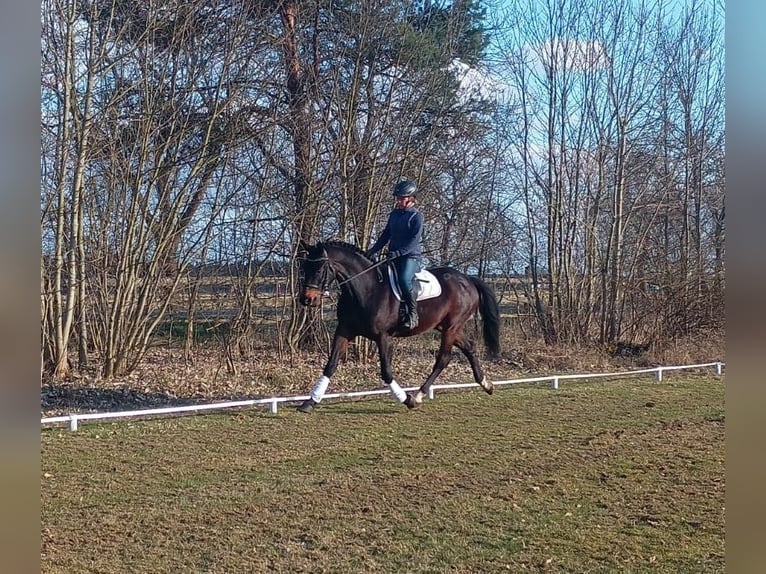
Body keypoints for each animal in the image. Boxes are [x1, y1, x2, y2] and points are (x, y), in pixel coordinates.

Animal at [295, 240, 501, 412]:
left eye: (320, 269)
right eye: (305, 267)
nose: (306, 299)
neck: (366, 289)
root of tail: (467, 279)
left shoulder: (383, 337)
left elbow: (386, 372)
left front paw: (406, 400)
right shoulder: (344, 331)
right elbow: (330, 365)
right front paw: (309, 402)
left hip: (451, 327)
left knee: (443, 358)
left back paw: (418, 396)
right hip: (447, 327)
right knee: (469, 348)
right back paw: (486, 384)